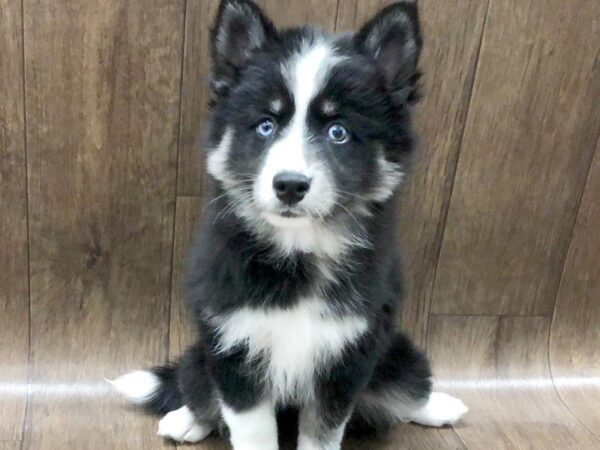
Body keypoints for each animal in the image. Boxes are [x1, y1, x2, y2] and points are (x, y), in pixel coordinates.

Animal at [111, 1, 468, 448]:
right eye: (266, 124)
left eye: (338, 131)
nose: (290, 185)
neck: (298, 250)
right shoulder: (235, 349)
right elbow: (249, 429)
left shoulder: (344, 358)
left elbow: (323, 433)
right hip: (203, 352)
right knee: (195, 384)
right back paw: (186, 418)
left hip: (393, 350)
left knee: (405, 386)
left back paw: (439, 404)